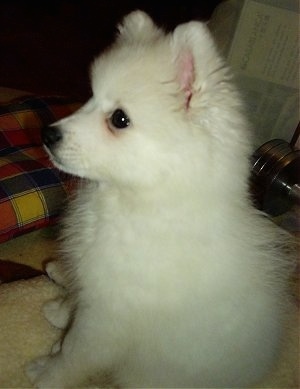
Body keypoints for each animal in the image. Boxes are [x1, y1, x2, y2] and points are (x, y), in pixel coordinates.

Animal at [27, 10, 294, 386]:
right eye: (90, 97)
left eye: (119, 119)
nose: (47, 134)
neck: (142, 201)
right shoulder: (95, 287)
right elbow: (76, 303)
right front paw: (60, 310)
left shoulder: (108, 318)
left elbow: (74, 353)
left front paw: (46, 374)